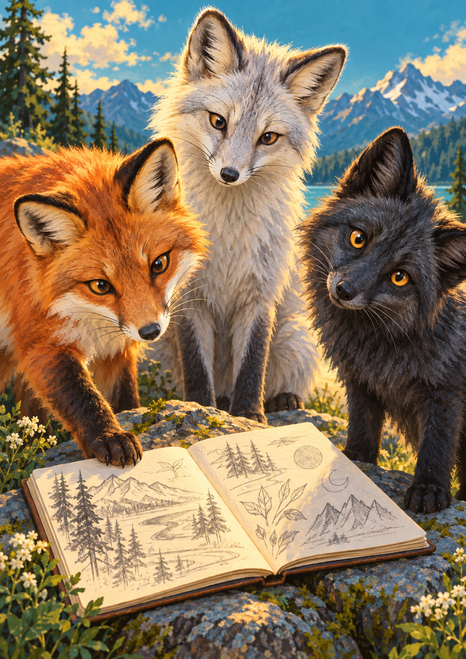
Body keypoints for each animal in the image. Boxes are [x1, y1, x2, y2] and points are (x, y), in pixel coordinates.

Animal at [0, 139, 208, 467]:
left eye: (159, 264)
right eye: (100, 286)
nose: (151, 332)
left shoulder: (117, 350)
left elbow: (126, 399)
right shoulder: (41, 344)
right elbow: (83, 397)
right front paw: (110, 437)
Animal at [147, 8, 347, 423]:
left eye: (267, 137)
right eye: (218, 121)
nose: (229, 174)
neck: (226, 237)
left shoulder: (260, 290)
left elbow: (254, 360)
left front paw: (250, 415)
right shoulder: (189, 294)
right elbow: (196, 364)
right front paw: (200, 406)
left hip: (297, 339)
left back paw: (281, 400)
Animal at [299, 126, 466, 513]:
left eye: (399, 277)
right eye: (358, 237)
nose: (344, 290)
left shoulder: (445, 393)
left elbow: (437, 445)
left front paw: (429, 489)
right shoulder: (360, 380)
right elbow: (363, 428)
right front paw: (357, 460)